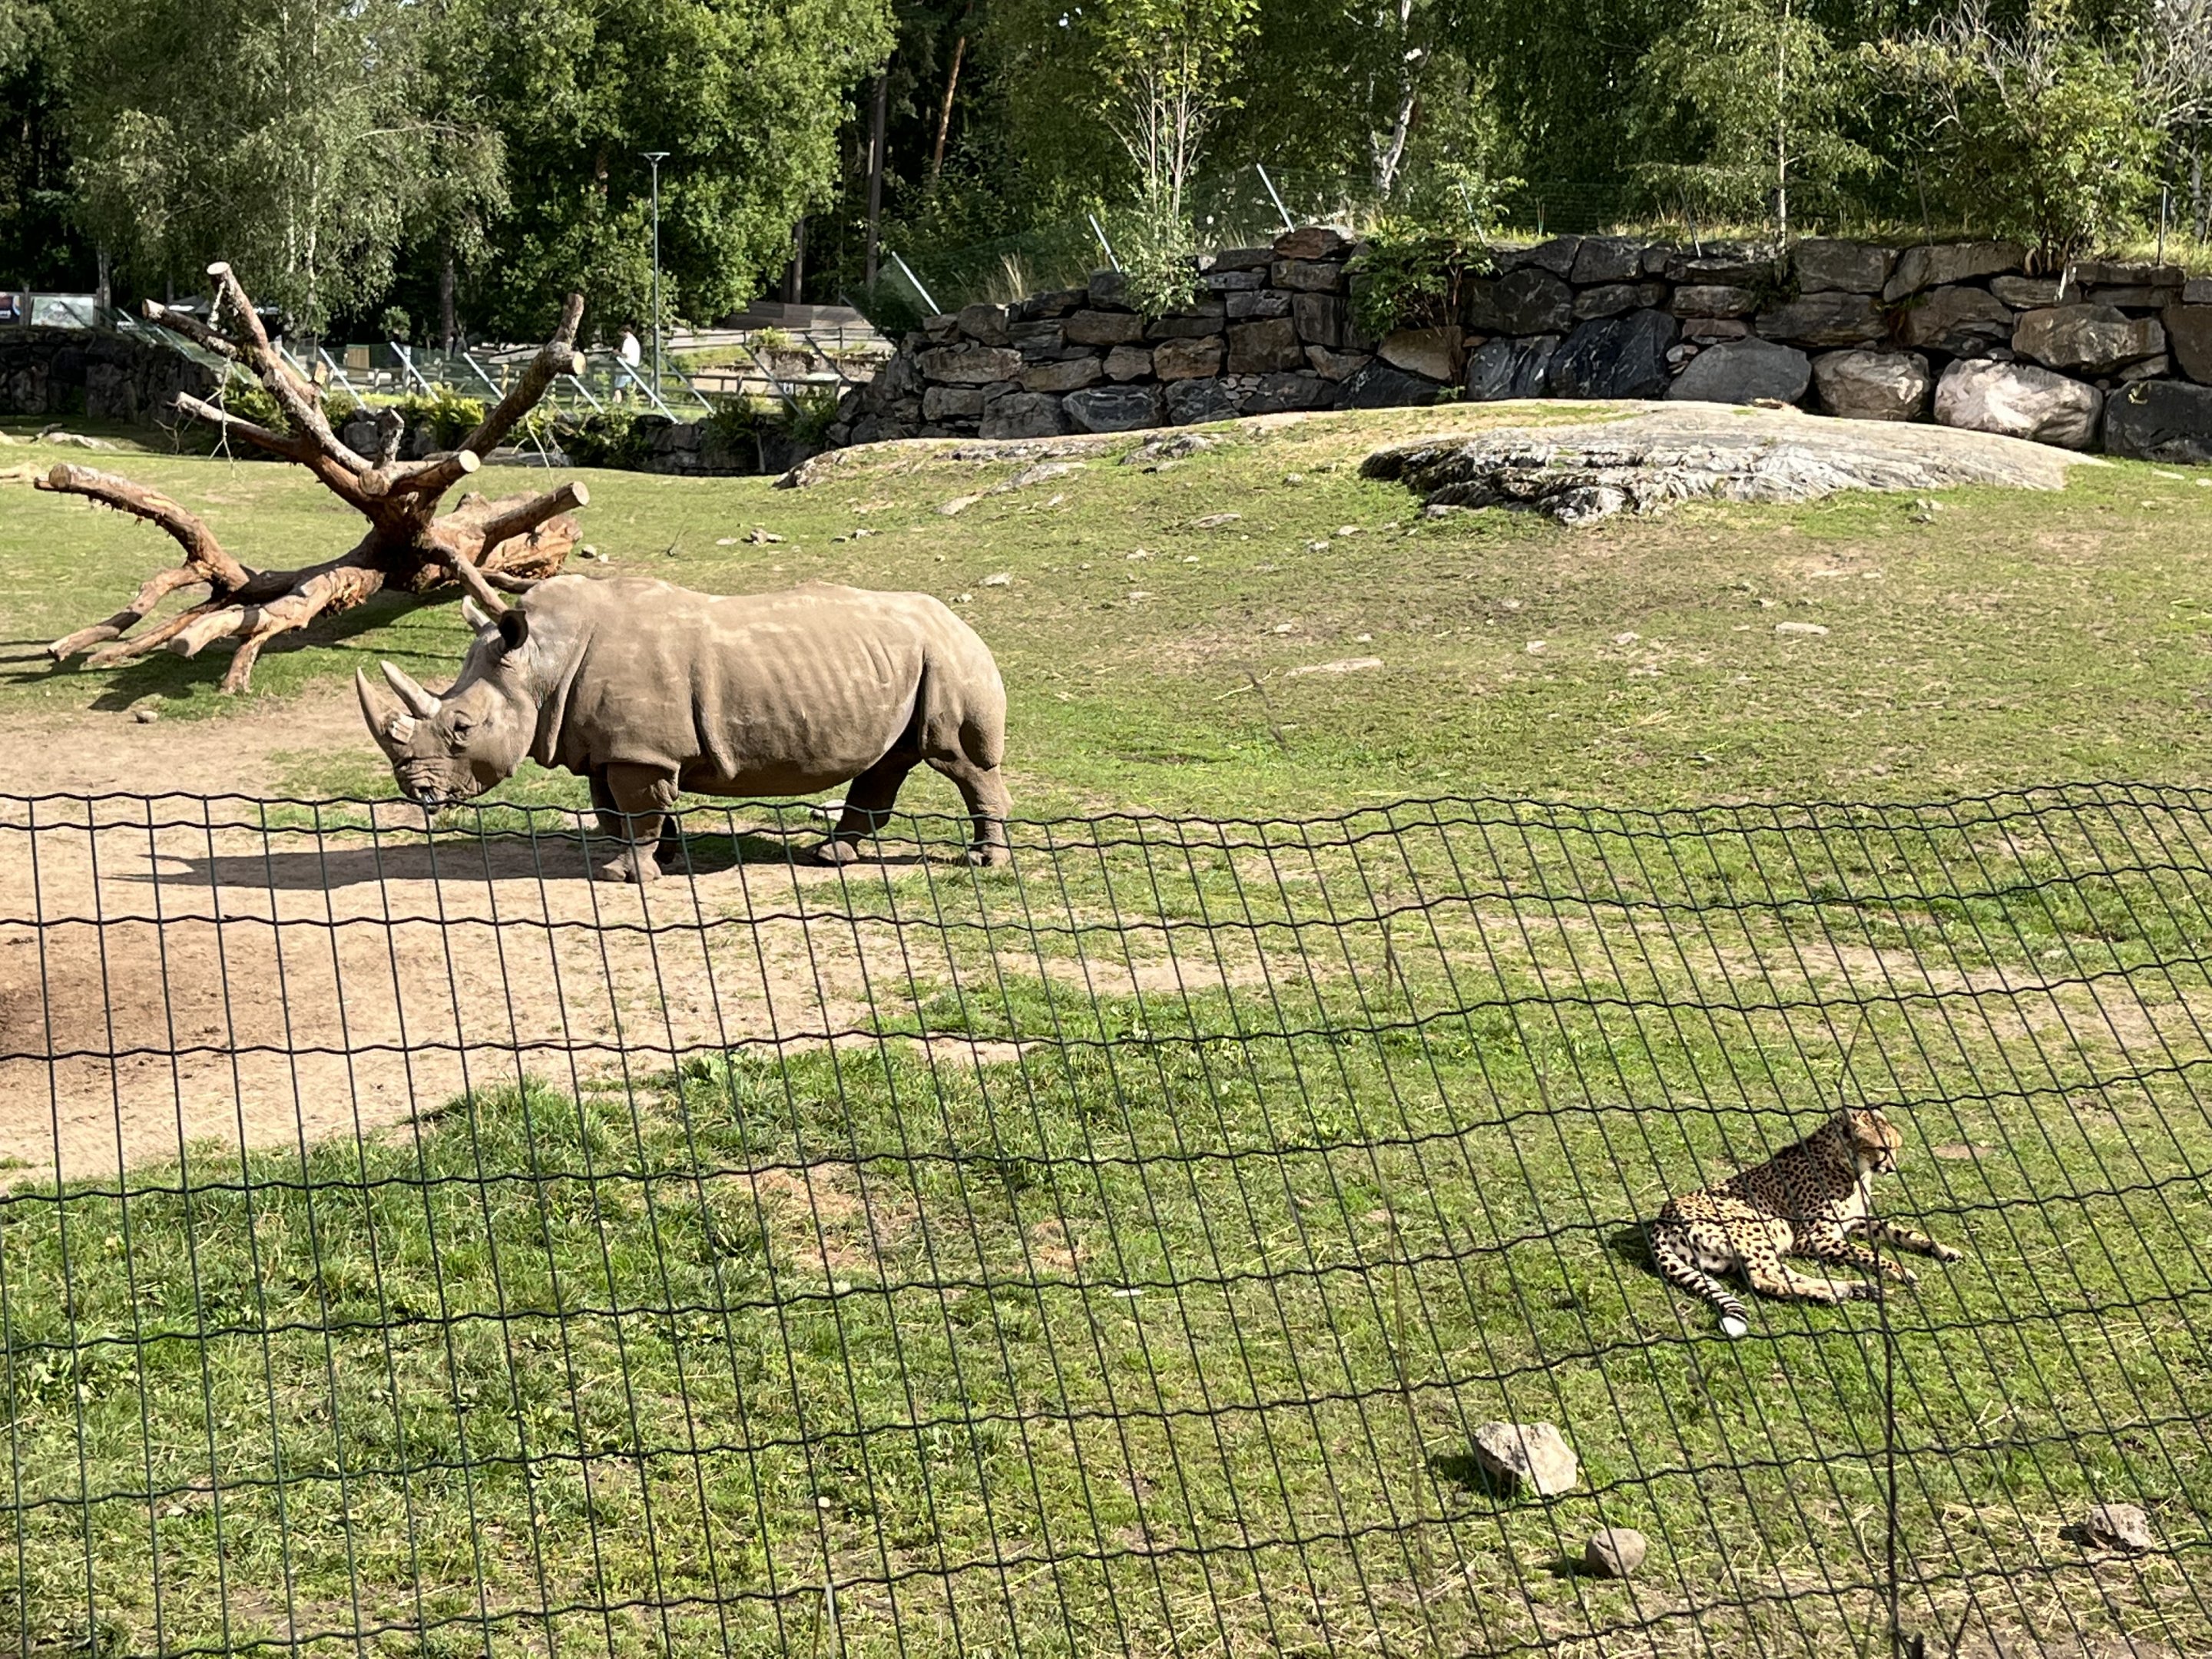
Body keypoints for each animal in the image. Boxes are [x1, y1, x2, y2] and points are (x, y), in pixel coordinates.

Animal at [356, 574, 1011, 880]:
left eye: (462, 728)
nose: (416, 791)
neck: (542, 663)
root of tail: (962, 622)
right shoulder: (611, 744)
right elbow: (615, 809)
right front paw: (664, 855)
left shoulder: (639, 750)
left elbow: (636, 806)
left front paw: (625, 876)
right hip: (913, 658)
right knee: (886, 762)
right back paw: (829, 857)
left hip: (949, 658)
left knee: (957, 761)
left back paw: (984, 862)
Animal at [1648, 1106, 1961, 1337]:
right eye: (1882, 1149)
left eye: (1896, 1148)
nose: (1892, 1168)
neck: (1847, 1164)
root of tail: (1661, 1218)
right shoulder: (1812, 1238)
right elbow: (1867, 1252)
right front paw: (1899, 1269)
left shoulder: (1856, 1222)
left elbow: (1900, 1232)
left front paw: (1941, 1248)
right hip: (1760, 1231)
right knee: (1764, 1279)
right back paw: (1831, 1294)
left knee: (1780, 1274)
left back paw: (1851, 1288)